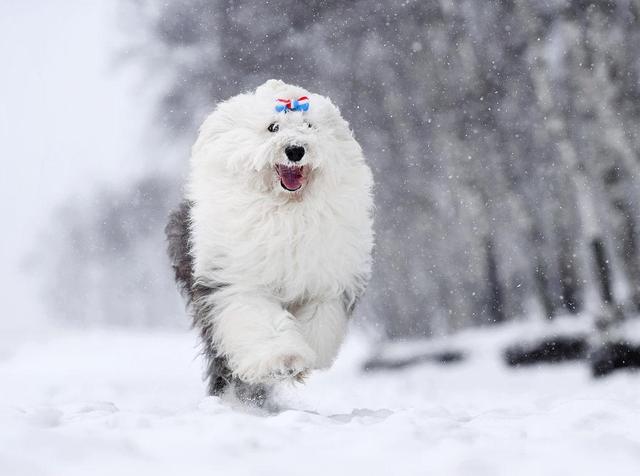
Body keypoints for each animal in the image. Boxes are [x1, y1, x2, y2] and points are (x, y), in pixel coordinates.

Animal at [166, 79, 376, 402]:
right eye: (273, 127)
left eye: (309, 125)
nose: (295, 149)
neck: (286, 212)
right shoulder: (235, 282)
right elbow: (261, 320)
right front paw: (283, 361)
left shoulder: (327, 283)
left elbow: (319, 323)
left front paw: (303, 358)